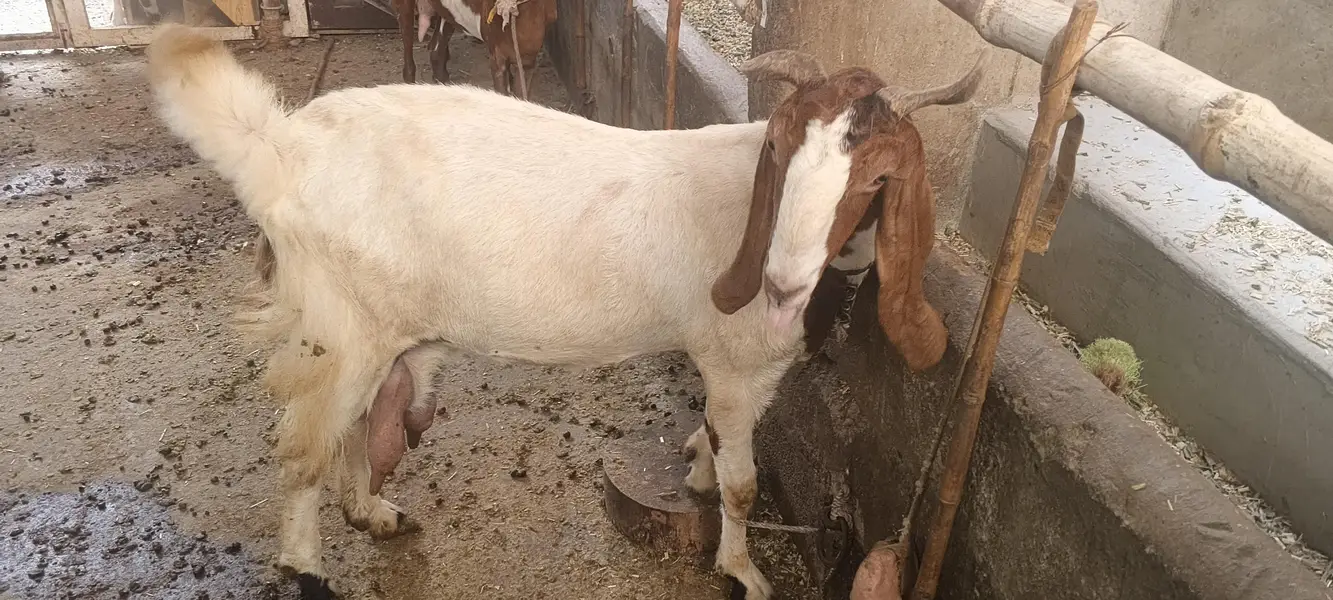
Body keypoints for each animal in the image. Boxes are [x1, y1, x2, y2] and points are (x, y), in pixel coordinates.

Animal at [145, 24, 984, 600]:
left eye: (875, 178)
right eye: (779, 150)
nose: (778, 285)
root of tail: (283, 148)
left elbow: (714, 448)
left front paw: (697, 469)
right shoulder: (734, 361)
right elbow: (745, 484)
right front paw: (743, 572)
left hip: (373, 326)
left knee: (354, 427)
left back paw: (375, 513)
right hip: (339, 326)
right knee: (304, 449)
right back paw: (307, 567)